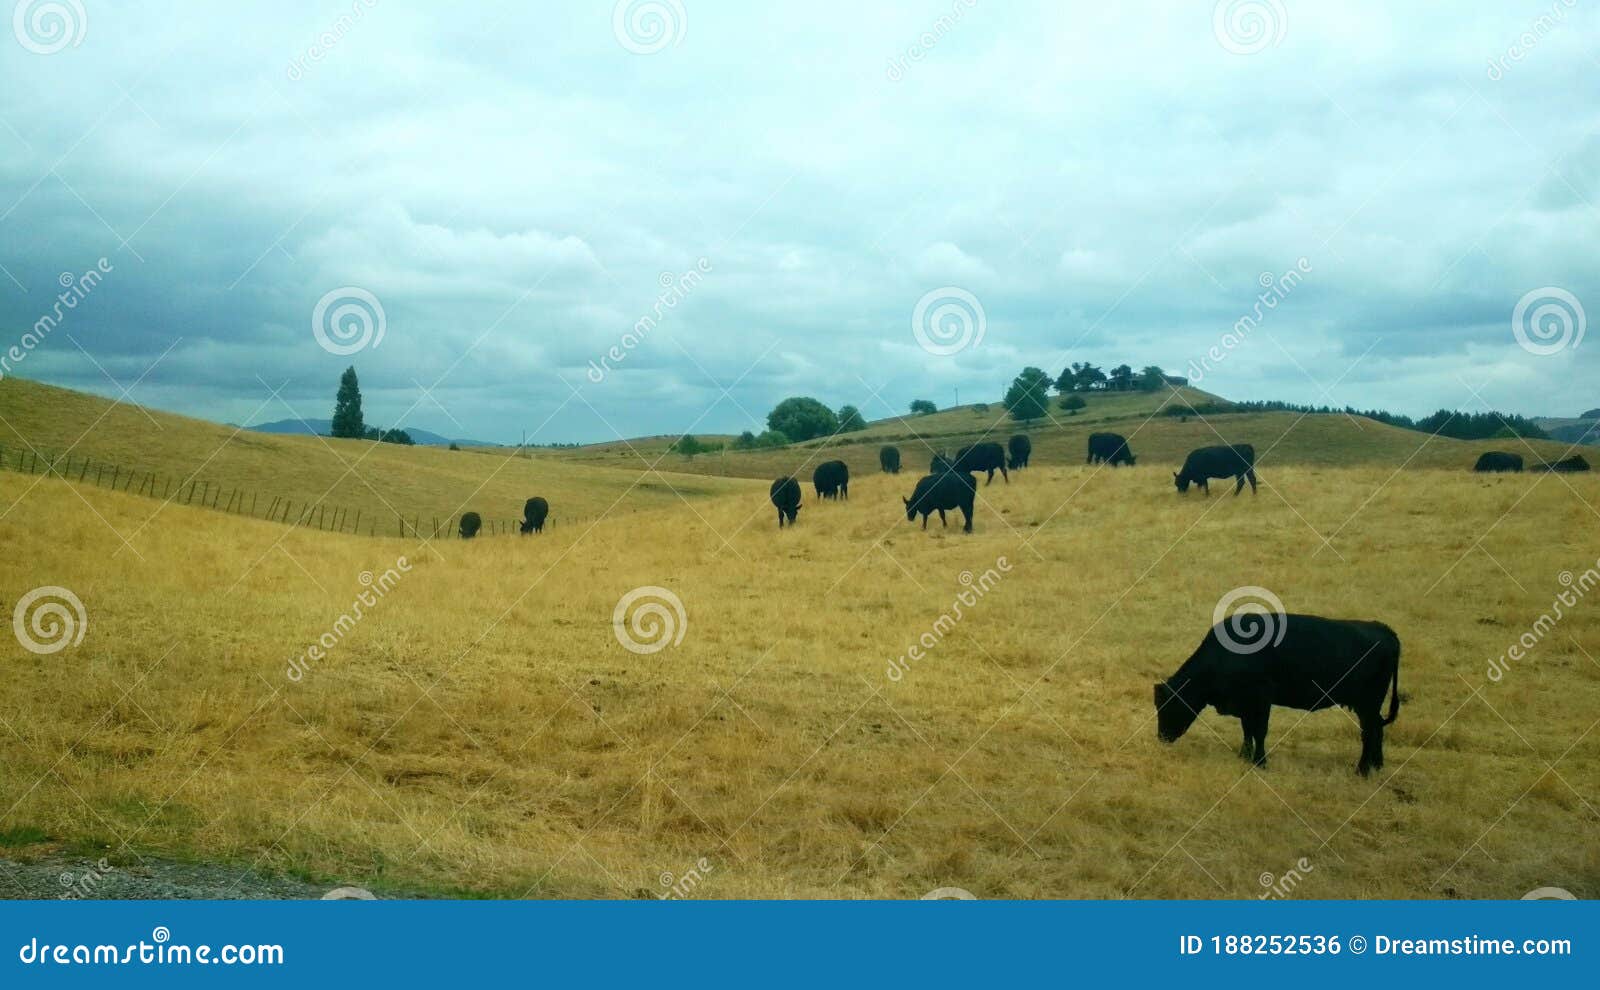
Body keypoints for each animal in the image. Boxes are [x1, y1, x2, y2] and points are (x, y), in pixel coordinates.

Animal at [1152, 617, 1401, 777]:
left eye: (1169, 705)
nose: (1162, 737)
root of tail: (1384, 630)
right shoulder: (1246, 704)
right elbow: (1247, 730)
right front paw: (1245, 756)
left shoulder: (1261, 699)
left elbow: (1259, 731)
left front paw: (1260, 762)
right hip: (1368, 706)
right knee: (1377, 730)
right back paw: (1376, 766)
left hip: (1368, 703)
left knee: (1370, 732)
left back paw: (1362, 770)